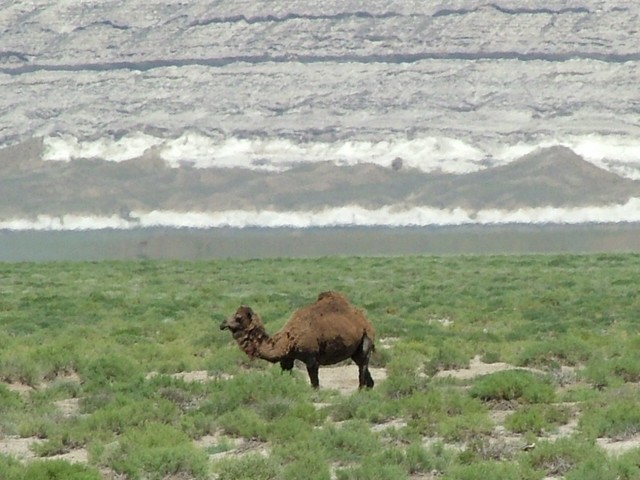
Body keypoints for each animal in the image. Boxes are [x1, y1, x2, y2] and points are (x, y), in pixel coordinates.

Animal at [220, 291, 376, 389]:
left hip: (366, 339)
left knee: (362, 365)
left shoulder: (312, 358)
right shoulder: (287, 359)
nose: (222, 323)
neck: (289, 340)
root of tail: (365, 320)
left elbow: (314, 384)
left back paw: (360, 391)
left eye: (238, 318)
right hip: (355, 350)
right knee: (363, 367)